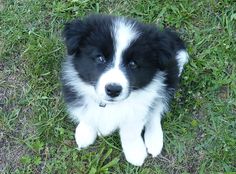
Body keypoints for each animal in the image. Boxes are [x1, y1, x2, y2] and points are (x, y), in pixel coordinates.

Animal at [61, 14, 189, 166]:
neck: (110, 106)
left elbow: (131, 132)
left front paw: (135, 152)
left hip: (168, 77)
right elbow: (87, 116)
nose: (113, 89)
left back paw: (154, 140)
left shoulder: (138, 111)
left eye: (133, 64)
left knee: (156, 109)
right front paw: (85, 133)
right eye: (100, 58)